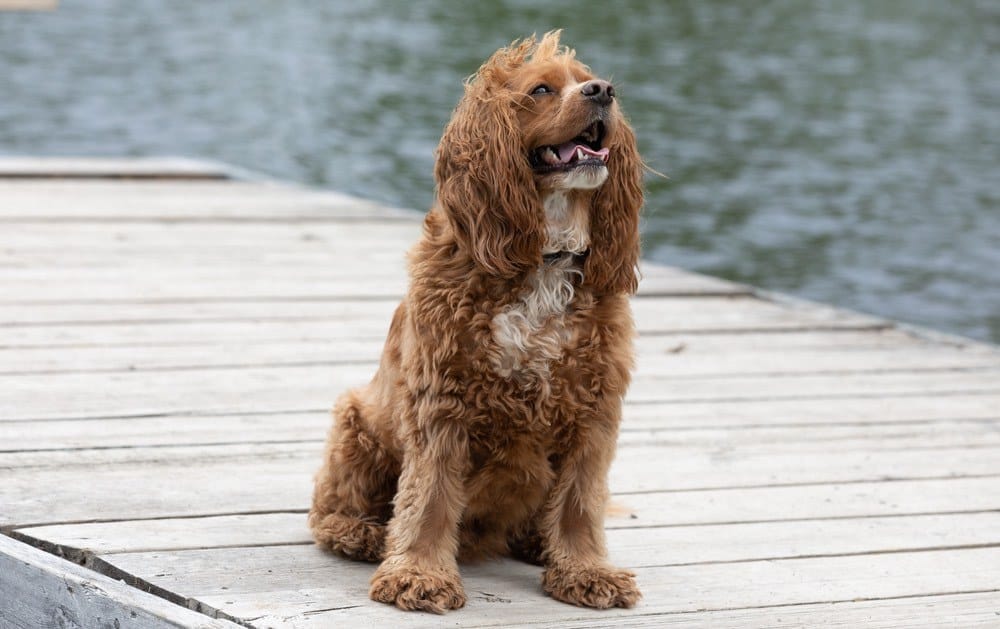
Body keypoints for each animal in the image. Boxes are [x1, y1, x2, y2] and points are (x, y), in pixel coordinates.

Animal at [308, 30, 644, 612]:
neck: (543, 258)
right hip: (357, 423)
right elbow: (431, 496)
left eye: (590, 78)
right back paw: (363, 533)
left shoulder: (593, 407)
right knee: (329, 508)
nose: (603, 91)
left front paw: (585, 571)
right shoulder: (444, 403)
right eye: (541, 89)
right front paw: (419, 574)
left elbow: (580, 502)